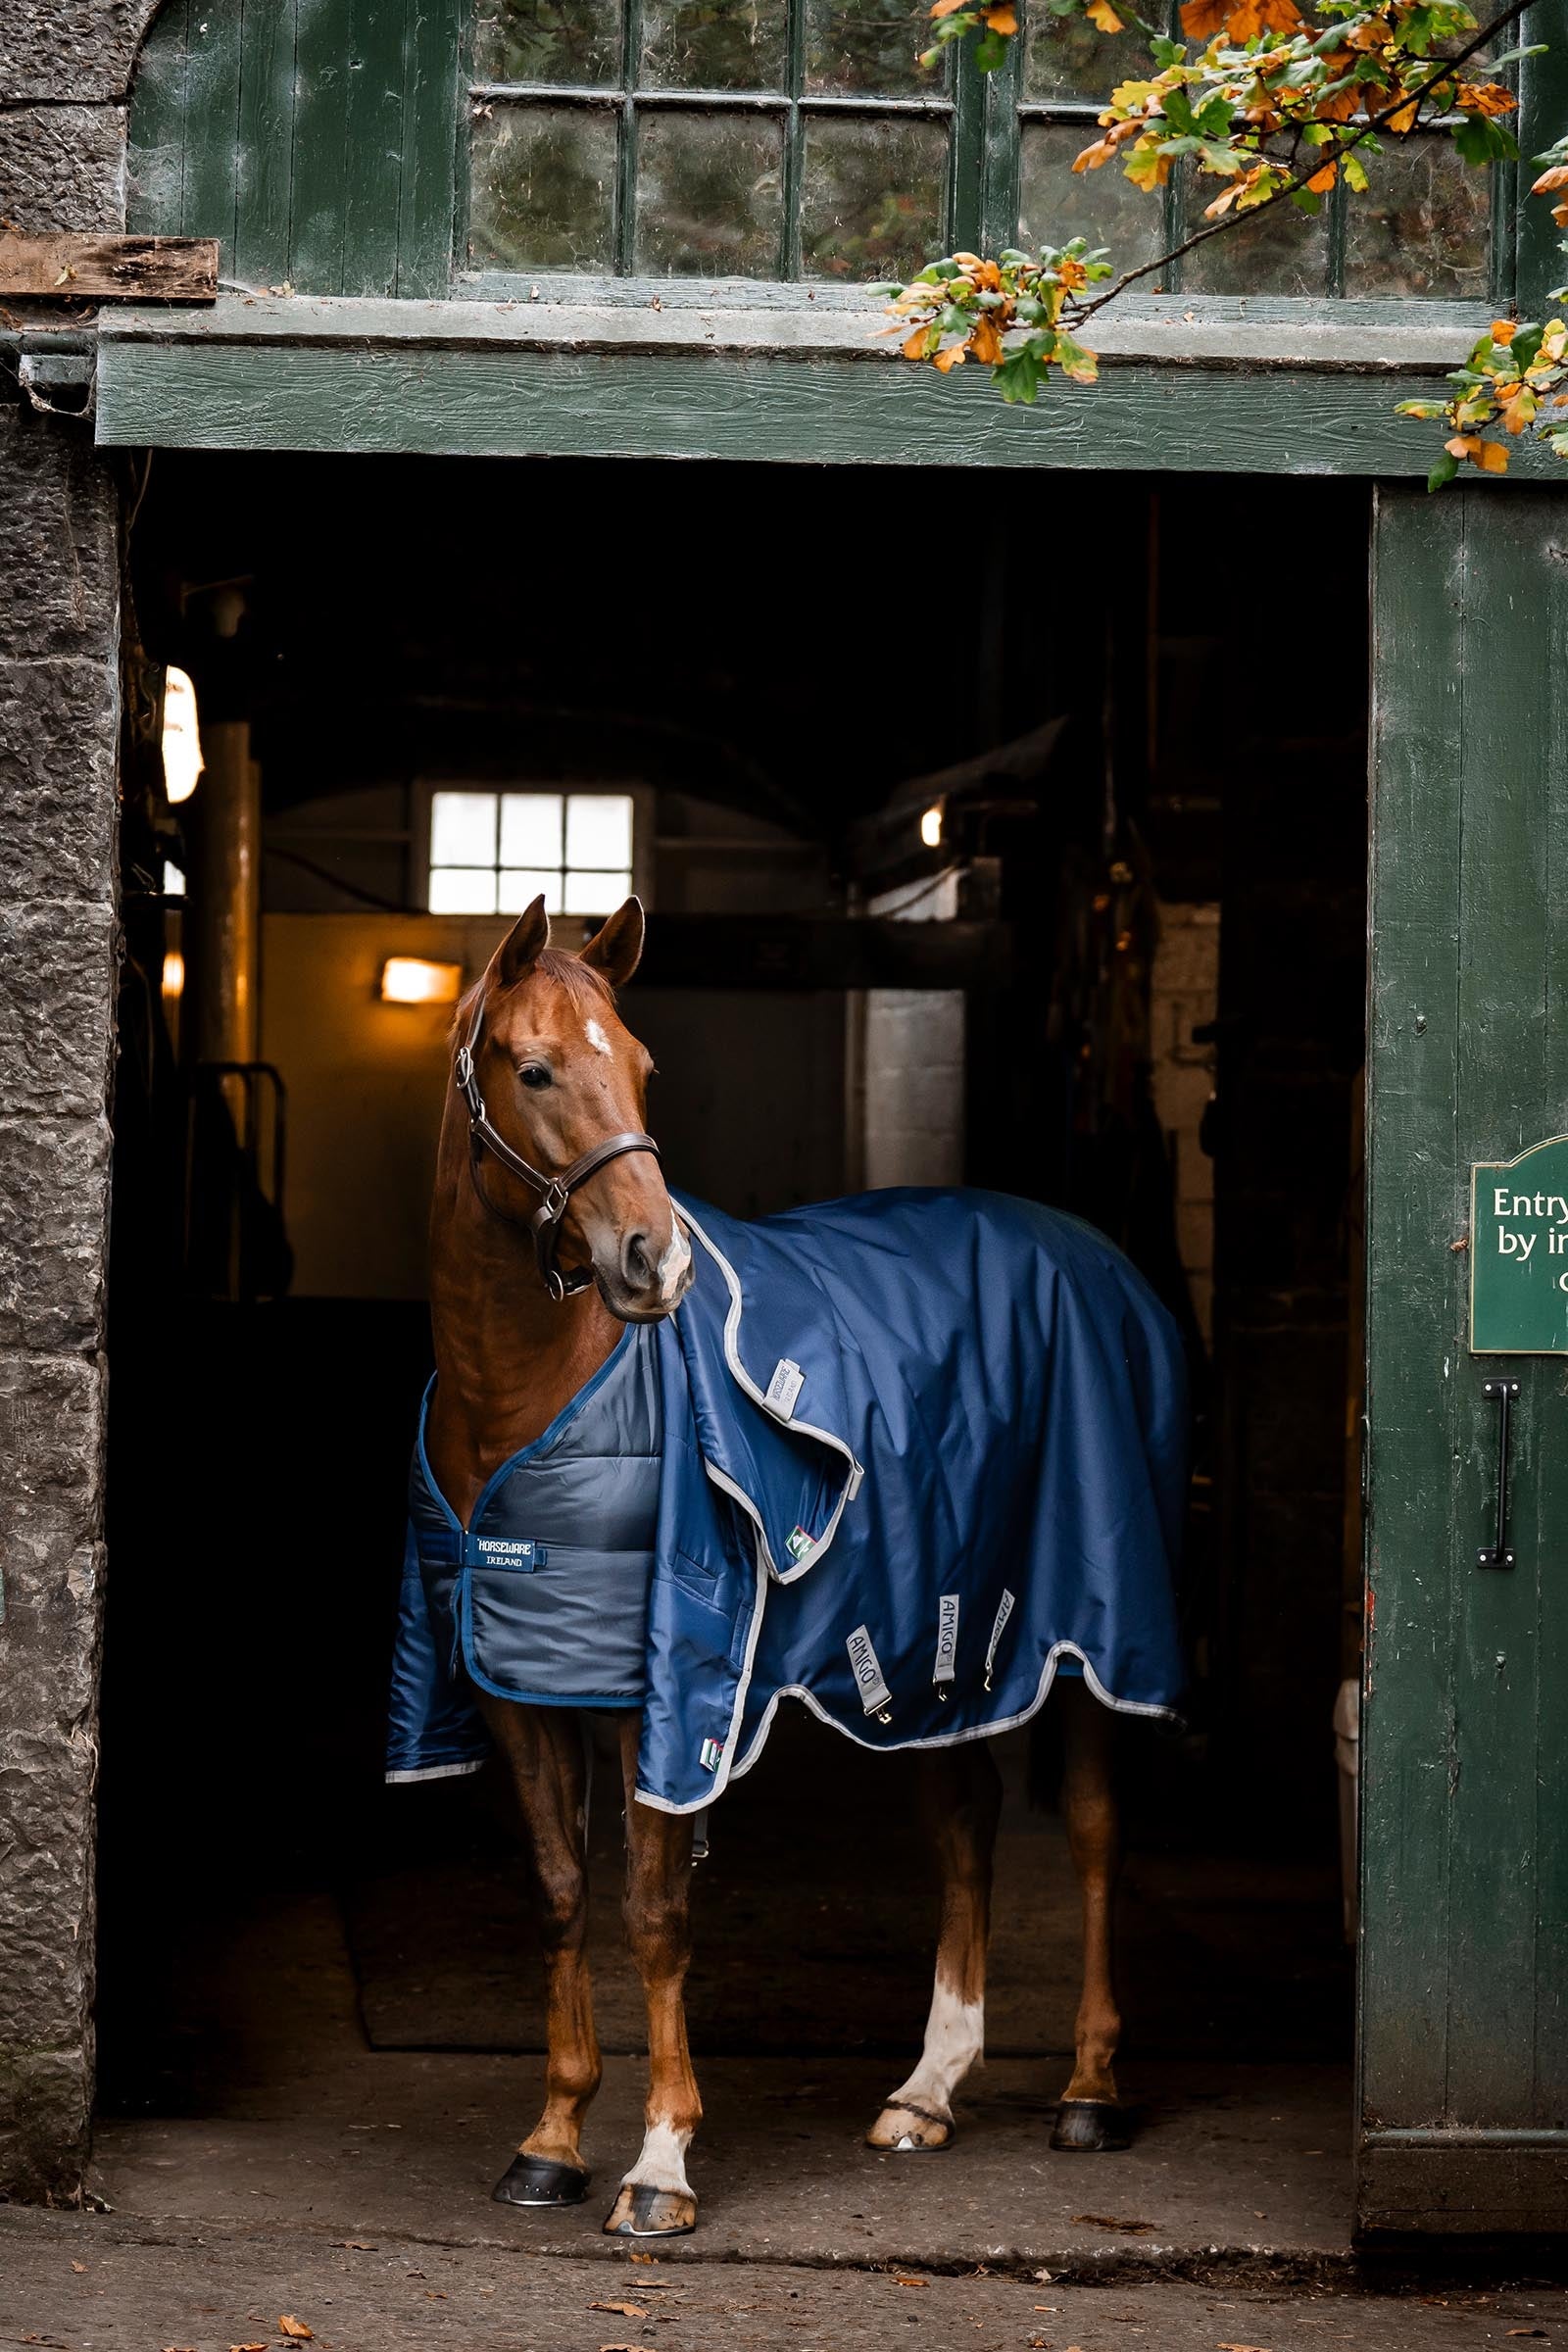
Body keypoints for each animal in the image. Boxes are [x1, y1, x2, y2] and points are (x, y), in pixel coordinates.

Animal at [413, 893, 1179, 2240]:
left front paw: (660, 2163)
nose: (653, 1263)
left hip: (1089, 1638)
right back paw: (926, 2091)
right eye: (536, 1068)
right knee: (963, 1821)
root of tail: (1098, 1257)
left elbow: (654, 1910)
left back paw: (1089, 2088)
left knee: (1093, 1830)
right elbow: (558, 1892)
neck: (528, 1392)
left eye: (644, 1066)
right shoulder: (517, 1682)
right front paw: (551, 2139)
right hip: (942, 1647)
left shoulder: (660, 1693)